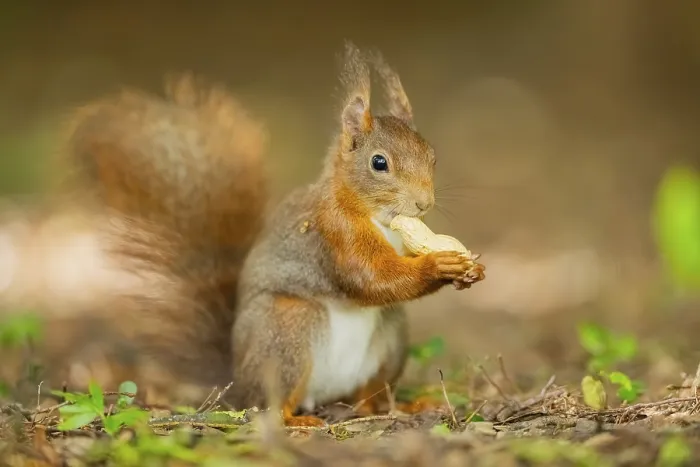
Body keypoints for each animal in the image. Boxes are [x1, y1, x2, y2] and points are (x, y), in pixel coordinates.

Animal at [36, 42, 485, 425]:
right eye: (379, 163)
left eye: (432, 155)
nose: (424, 204)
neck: (376, 215)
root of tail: (238, 378)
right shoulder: (332, 233)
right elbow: (369, 277)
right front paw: (438, 265)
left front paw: (468, 269)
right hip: (287, 329)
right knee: (270, 404)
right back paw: (296, 421)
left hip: (390, 336)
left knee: (371, 396)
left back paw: (401, 405)